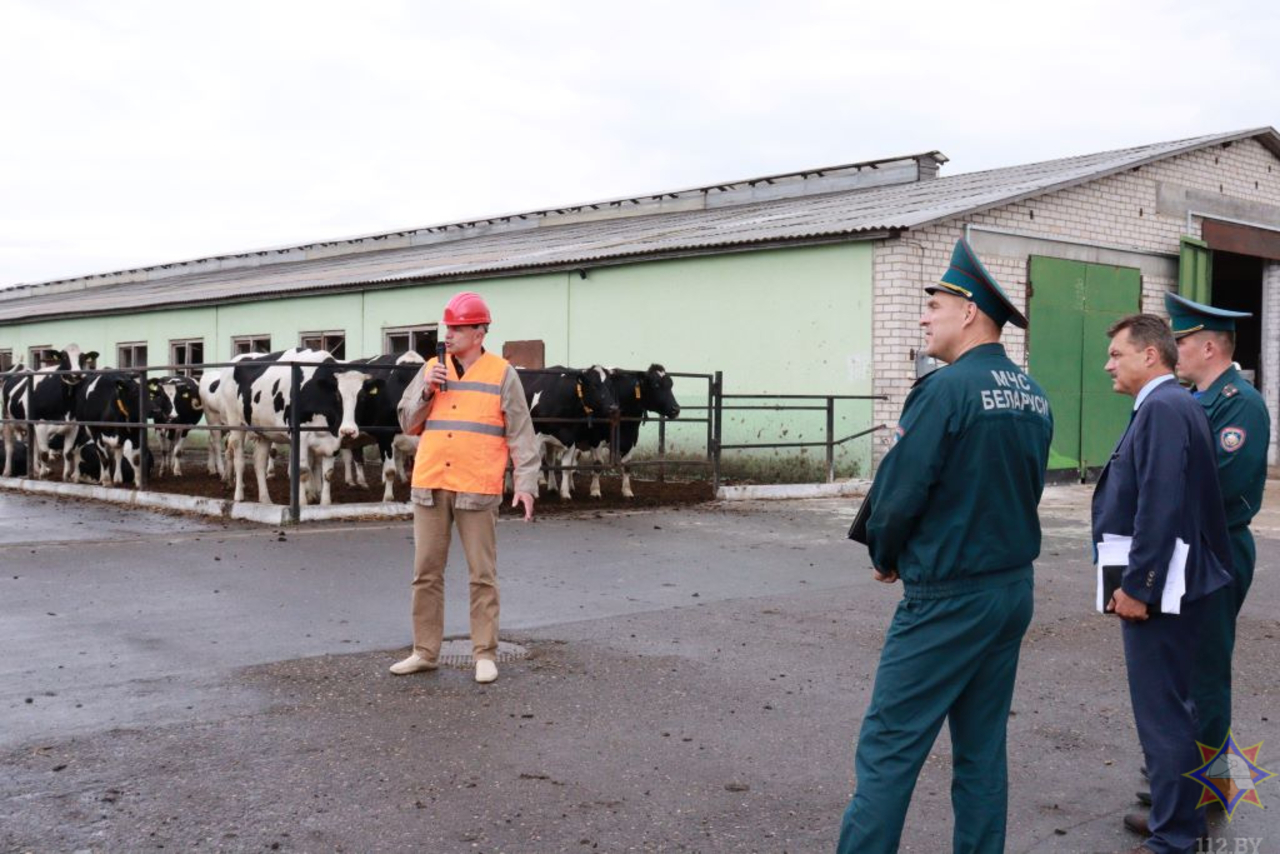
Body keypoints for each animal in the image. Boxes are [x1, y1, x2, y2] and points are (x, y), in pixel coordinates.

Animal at [1, 348, 98, 481]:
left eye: (82, 358)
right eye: (64, 357)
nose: (77, 374)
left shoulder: (73, 427)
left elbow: (67, 453)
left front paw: (66, 477)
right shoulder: (41, 425)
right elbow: (44, 453)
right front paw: (43, 476)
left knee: (33, 447)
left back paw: (36, 470)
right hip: (7, 420)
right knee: (10, 447)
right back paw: (7, 471)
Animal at [220, 348, 376, 504]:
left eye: (362, 397)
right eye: (337, 395)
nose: (348, 430)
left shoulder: (333, 441)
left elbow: (328, 474)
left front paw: (325, 503)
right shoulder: (301, 437)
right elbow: (302, 471)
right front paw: (302, 503)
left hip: (264, 431)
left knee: (259, 462)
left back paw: (265, 500)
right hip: (236, 423)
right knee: (239, 459)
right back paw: (239, 496)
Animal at [517, 368, 622, 501]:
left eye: (610, 385)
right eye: (594, 385)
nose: (613, 408)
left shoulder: (571, 439)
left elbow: (566, 467)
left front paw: (565, 493)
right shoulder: (535, 438)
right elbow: (534, 464)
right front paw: (533, 493)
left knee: (550, 461)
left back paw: (552, 487)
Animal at [581, 363, 680, 496]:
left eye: (671, 384)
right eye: (656, 385)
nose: (676, 409)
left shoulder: (632, 439)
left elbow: (627, 466)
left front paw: (627, 491)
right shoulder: (596, 439)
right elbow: (598, 464)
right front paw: (595, 490)